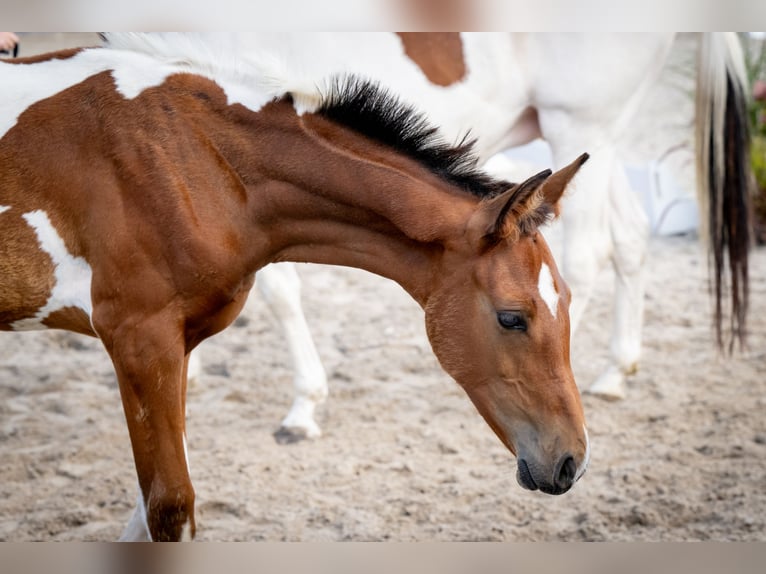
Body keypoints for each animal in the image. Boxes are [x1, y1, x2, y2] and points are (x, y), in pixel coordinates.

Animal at [0, 33, 590, 541]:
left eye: (567, 305)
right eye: (511, 317)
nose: (572, 462)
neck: (196, 161)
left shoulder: (175, 347)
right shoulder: (140, 341)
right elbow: (170, 504)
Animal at [223, 32, 752, 441]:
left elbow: (277, 288)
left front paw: (303, 407)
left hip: (578, 121)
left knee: (589, 252)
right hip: (593, 143)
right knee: (632, 236)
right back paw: (613, 373)